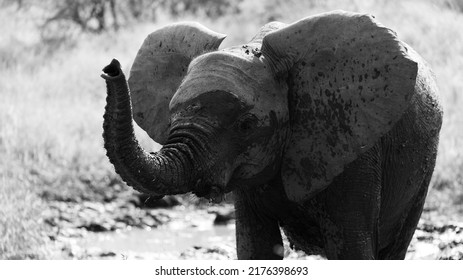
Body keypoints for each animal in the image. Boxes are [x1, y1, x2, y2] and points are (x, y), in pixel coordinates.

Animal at [101, 10, 442, 260]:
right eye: (172, 113)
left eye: (246, 125)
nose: (111, 67)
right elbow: (256, 248)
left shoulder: (353, 145)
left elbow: (351, 251)